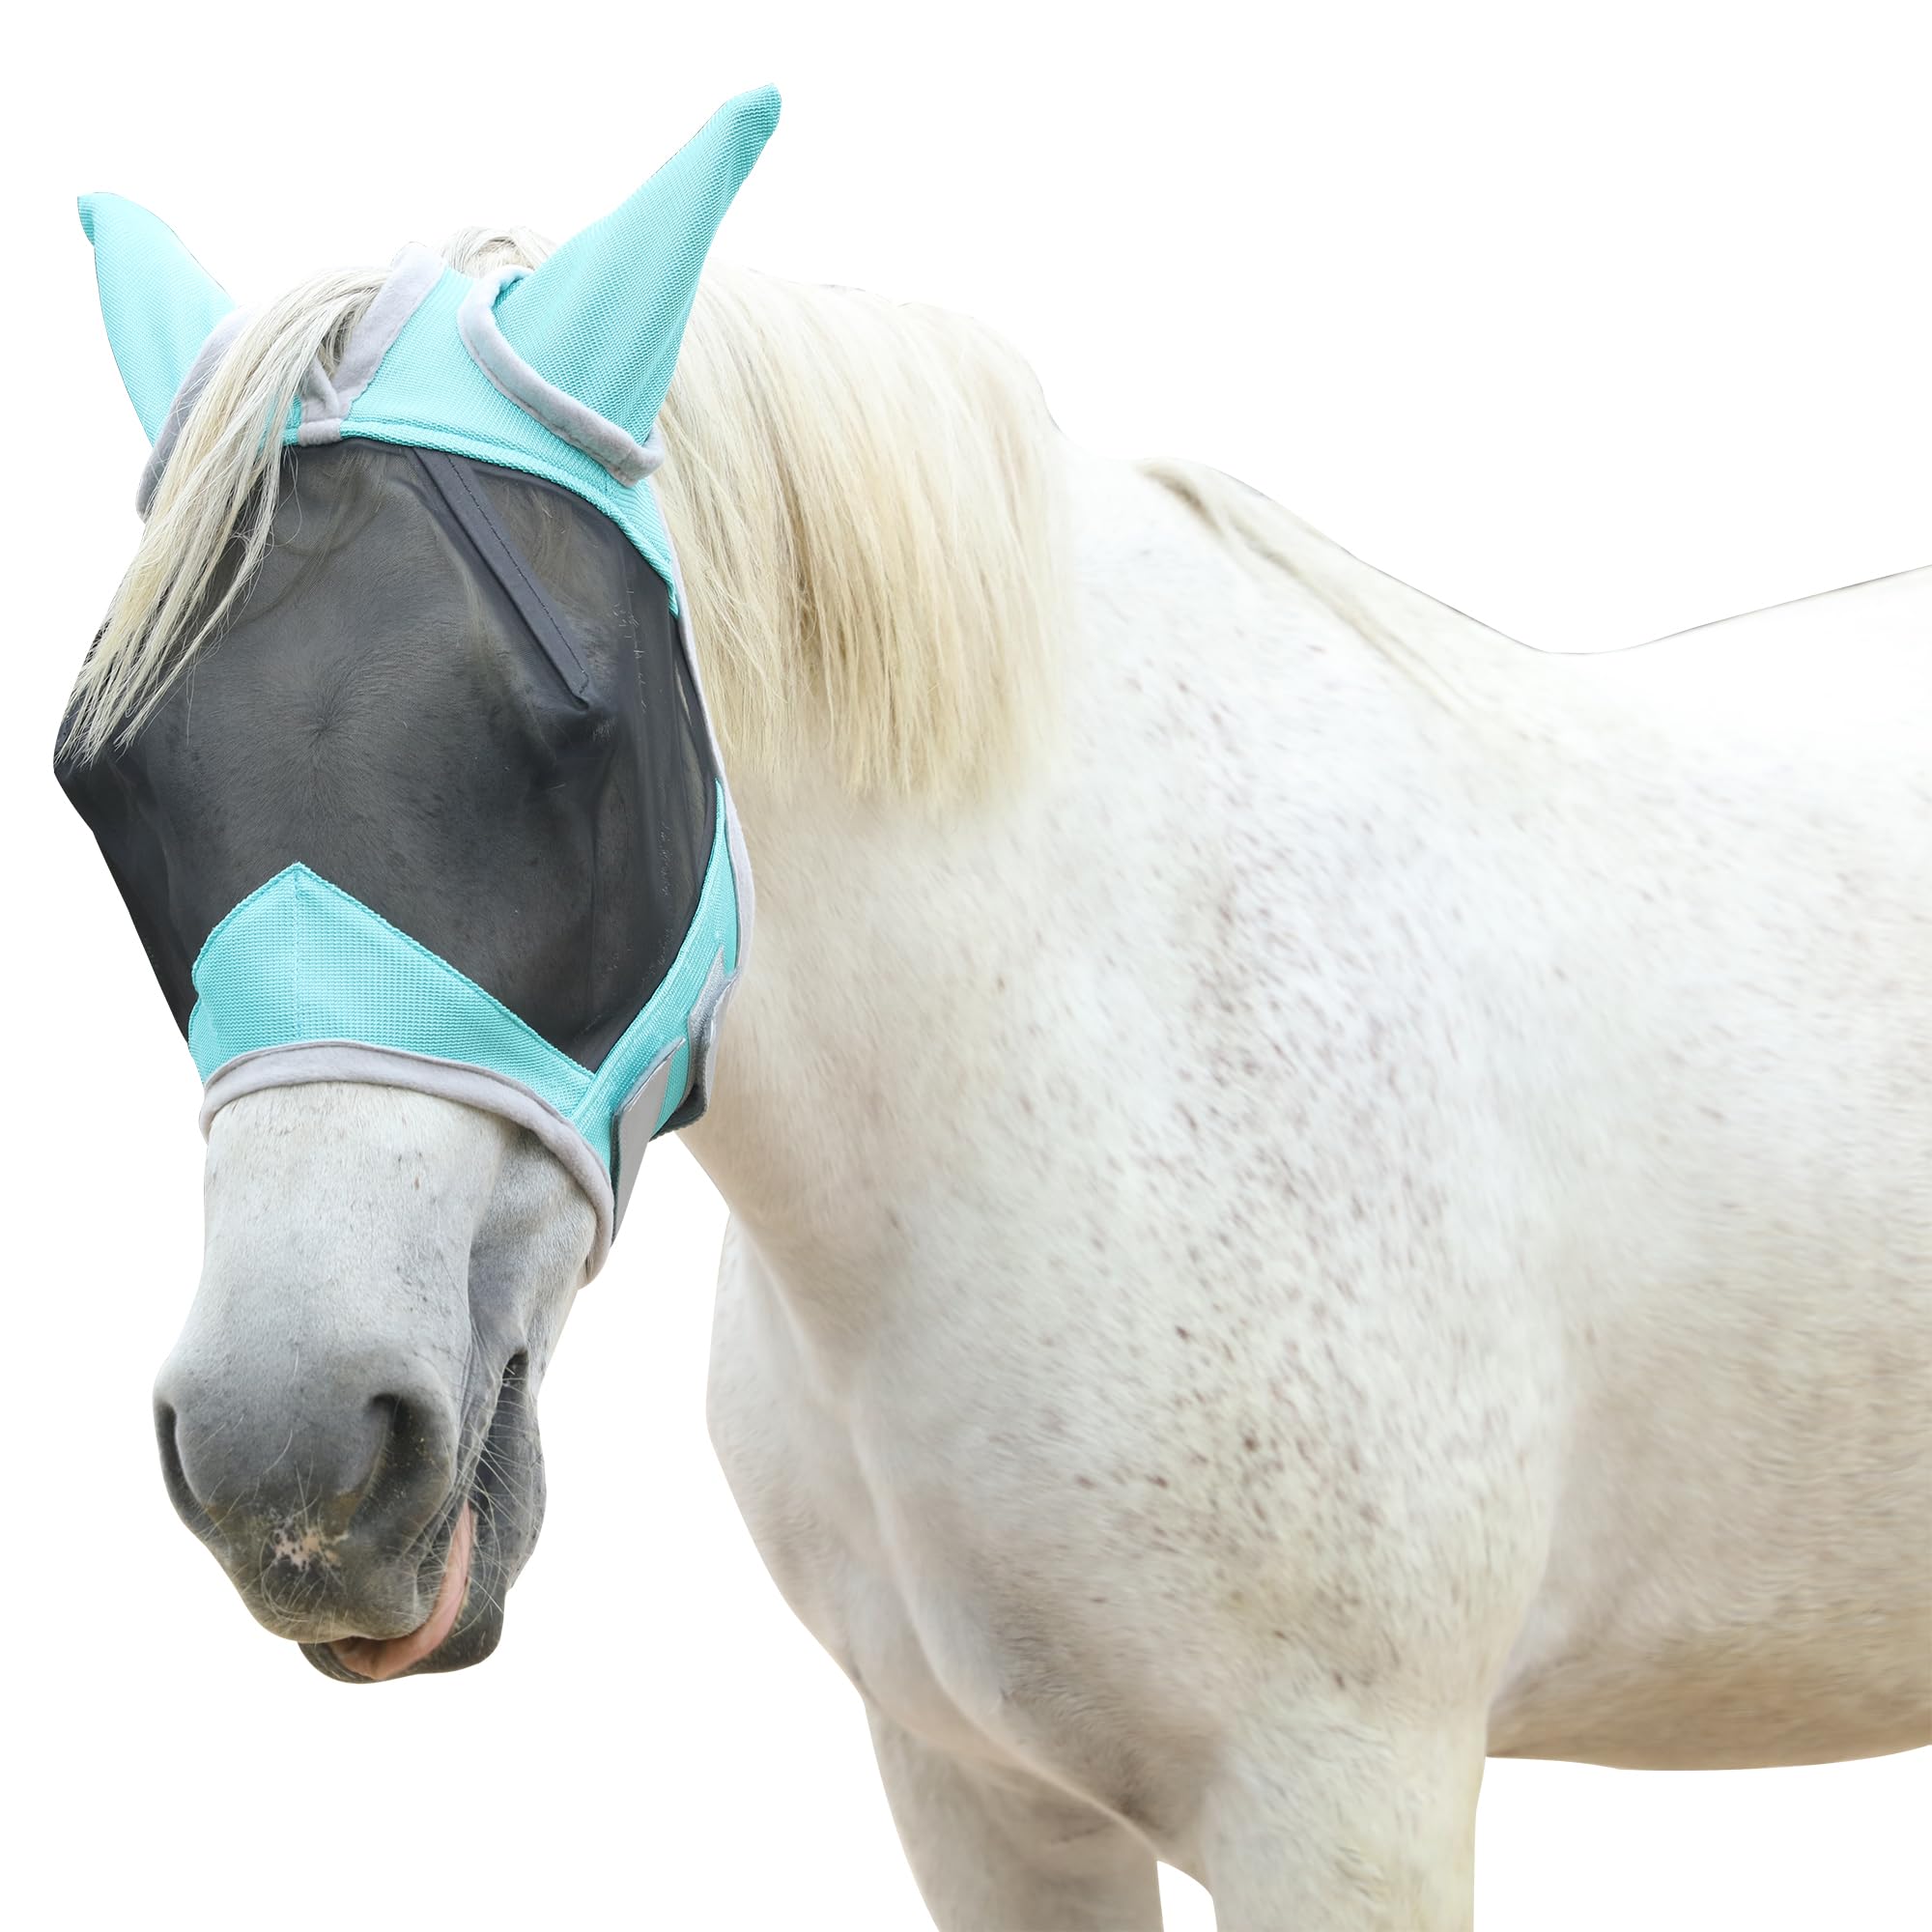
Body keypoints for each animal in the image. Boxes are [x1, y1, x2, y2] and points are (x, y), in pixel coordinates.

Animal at [59, 117, 1931, 1931]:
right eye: (107, 780)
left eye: (577, 727)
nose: (293, 1463)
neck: (1105, 1056)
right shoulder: (976, 1793)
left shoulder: (1348, 1803)